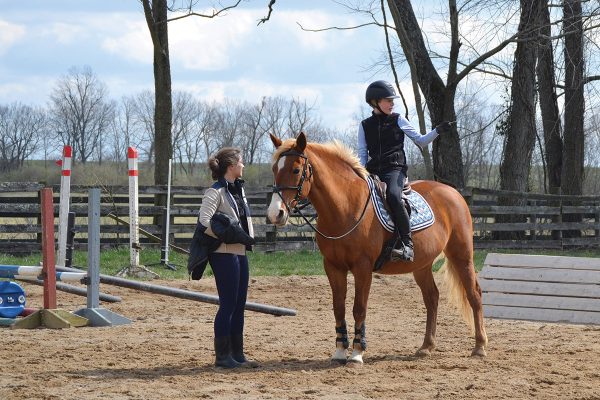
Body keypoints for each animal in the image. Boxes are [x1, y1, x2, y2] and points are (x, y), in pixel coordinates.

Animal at [268, 133, 488, 364]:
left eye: (295, 170)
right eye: (274, 169)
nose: (276, 214)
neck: (345, 207)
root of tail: (453, 193)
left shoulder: (363, 267)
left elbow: (359, 308)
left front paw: (357, 353)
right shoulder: (333, 267)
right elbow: (339, 308)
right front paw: (340, 351)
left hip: (461, 255)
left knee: (474, 294)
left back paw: (479, 346)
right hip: (422, 265)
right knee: (432, 298)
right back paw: (426, 346)